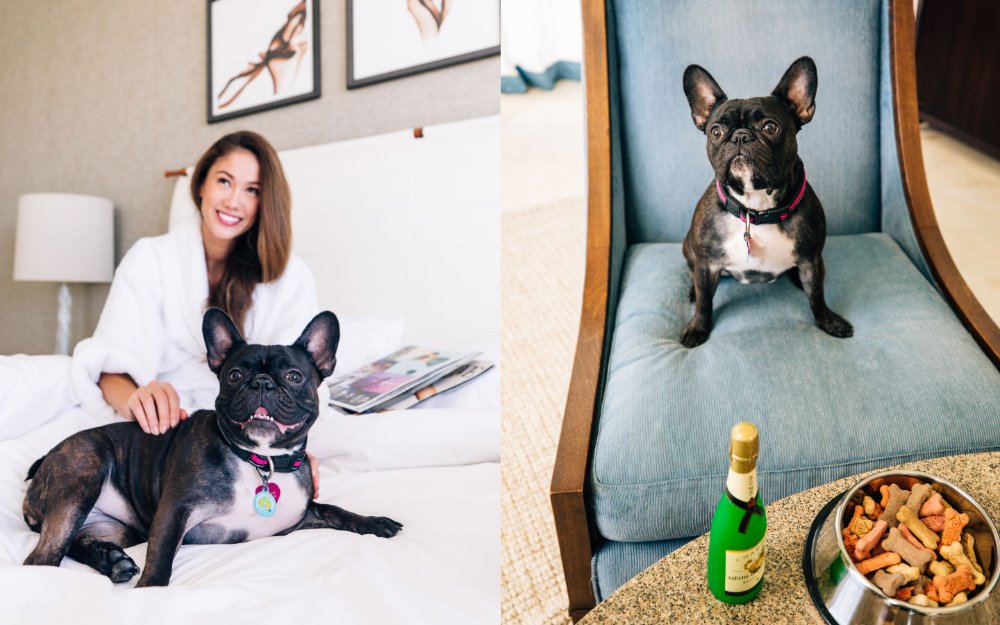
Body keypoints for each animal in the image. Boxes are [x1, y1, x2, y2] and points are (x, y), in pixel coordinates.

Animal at [21, 308, 402, 584]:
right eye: (234, 375)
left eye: (294, 376)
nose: (262, 382)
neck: (260, 461)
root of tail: (43, 462)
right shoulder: (174, 512)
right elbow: (160, 561)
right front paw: (149, 594)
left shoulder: (299, 519)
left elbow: (336, 510)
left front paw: (373, 521)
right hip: (83, 473)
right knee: (43, 557)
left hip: (116, 527)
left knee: (78, 543)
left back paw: (112, 561)